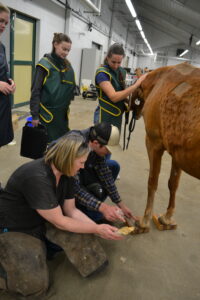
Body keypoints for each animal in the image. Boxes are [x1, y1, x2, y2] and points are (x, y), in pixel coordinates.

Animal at [130, 62, 200, 229]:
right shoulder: (179, 153)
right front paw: (167, 217)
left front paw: (145, 220)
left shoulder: (153, 143)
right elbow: (173, 184)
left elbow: (152, 181)